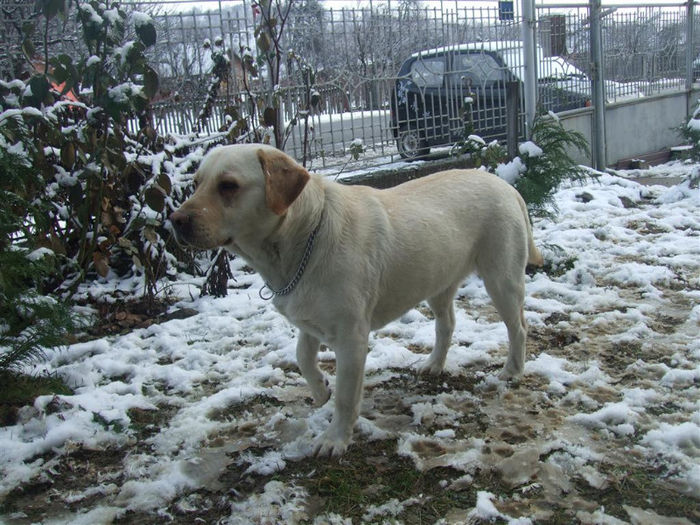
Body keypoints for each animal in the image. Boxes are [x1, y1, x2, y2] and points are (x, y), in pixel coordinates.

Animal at [170, 142, 540, 454]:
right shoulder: (308, 318)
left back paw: (512, 370)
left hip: (501, 279)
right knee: (447, 323)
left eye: (228, 185)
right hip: (437, 282)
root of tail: (507, 186)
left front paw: (335, 439)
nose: (175, 221)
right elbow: (302, 357)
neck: (303, 236)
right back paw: (434, 364)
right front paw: (321, 389)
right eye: (196, 183)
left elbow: (346, 397)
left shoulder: (351, 337)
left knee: (518, 327)